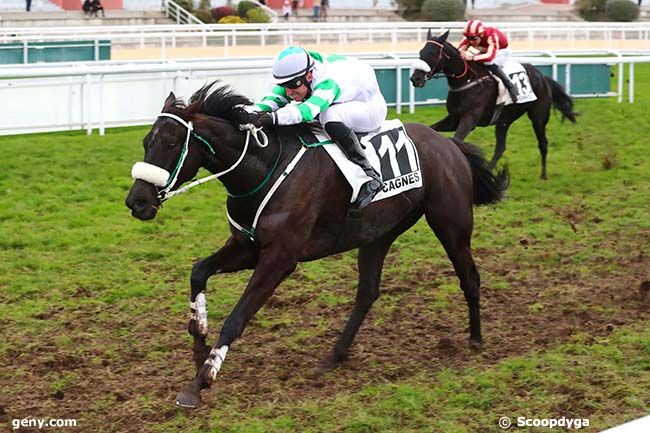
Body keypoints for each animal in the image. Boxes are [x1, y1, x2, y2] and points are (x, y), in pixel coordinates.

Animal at [121, 82, 506, 408]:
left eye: (171, 144)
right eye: (145, 141)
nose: (137, 201)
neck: (263, 168)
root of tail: (449, 143)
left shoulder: (280, 258)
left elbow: (236, 318)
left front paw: (201, 380)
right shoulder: (247, 247)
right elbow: (198, 271)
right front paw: (199, 340)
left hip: (450, 224)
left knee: (470, 277)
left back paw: (475, 340)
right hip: (377, 234)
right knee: (367, 292)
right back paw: (335, 355)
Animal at [408, 30, 576, 178]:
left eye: (432, 53)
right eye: (421, 52)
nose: (415, 78)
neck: (467, 80)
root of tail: (543, 77)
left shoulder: (469, 119)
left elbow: (456, 140)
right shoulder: (453, 118)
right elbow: (432, 129)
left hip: (538, 117)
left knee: (543, 142)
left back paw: (543, 174)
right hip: (504, 120)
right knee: (500, 147)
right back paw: (489, 171)